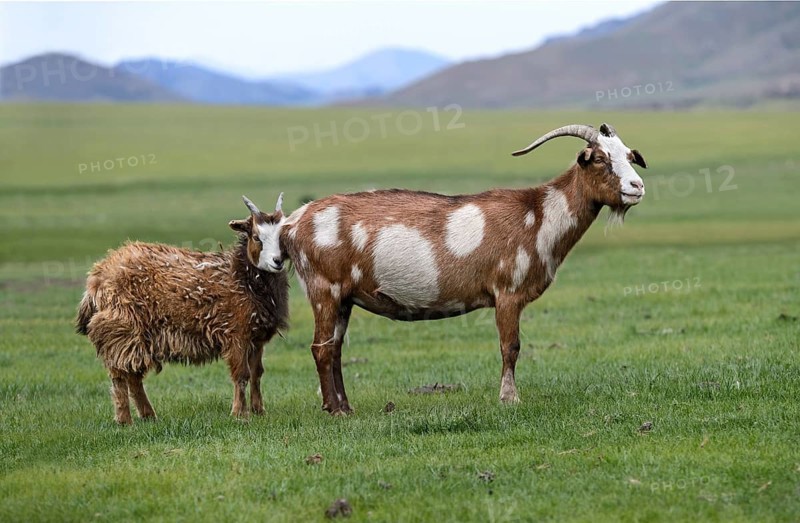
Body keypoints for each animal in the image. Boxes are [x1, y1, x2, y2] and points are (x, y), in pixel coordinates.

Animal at [76, 195, 289, 424]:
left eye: (283, 235)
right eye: (257, 237)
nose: (277, 261)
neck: (241, 276)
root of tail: (97, 276)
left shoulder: (256, 338)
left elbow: (257, 373)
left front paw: (259, 411)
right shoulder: (236, 333)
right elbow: (241, 374)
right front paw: (239, 414)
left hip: (135, 336)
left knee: (133, 375)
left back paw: (148, 416)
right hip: (121, 330)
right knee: (120, 374)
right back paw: (125, 420)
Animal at [280, 123, 647, 415]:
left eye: (630, 156)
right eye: (599, 158)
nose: (637, 187)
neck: (540, 216)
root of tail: (292, 224)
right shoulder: (507, 292)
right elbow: (510, 347)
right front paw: (509, 398)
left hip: (343, 298)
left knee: (335, 347)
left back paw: (344, 405)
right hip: (324, 289)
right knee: (321, 348)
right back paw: (335, 410)